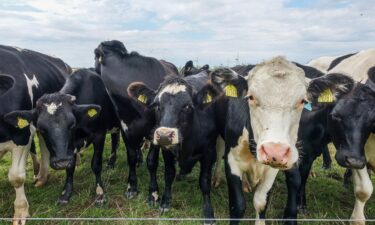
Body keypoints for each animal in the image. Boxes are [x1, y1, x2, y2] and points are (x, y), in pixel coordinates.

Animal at [93, 40, 179, 199]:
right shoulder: (126, 128)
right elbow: (131, 157)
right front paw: (131, 186)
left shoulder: (155, 131)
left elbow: (152, 161)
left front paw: (153, 192)